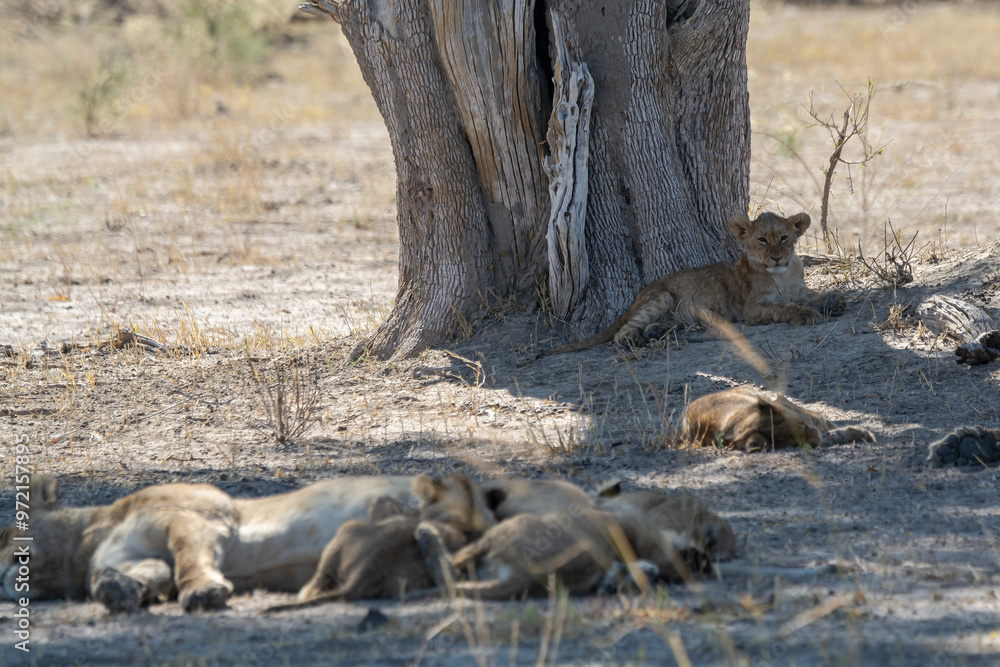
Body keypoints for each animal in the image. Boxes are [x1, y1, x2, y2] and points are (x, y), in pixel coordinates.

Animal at [0, 473, 476, 613]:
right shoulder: (135, 556)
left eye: (3, 538)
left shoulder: (196, 515)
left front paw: (203, 593)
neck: (88, 537)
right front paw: (116, 592)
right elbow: (146, 574)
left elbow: (189, 559)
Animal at [539, 212, 846, 356]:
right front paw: (805, 315)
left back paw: (657, 332)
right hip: (661, 296)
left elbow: (813, 295)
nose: (777, 256)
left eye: (783, 237)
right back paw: (634, 341)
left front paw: (834, 301)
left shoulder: (799, 289)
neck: (783, 272)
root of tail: (636, 296)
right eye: (761, 240)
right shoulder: (753, 309)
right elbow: (784, 307)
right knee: (622, 332)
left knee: (654, 325)